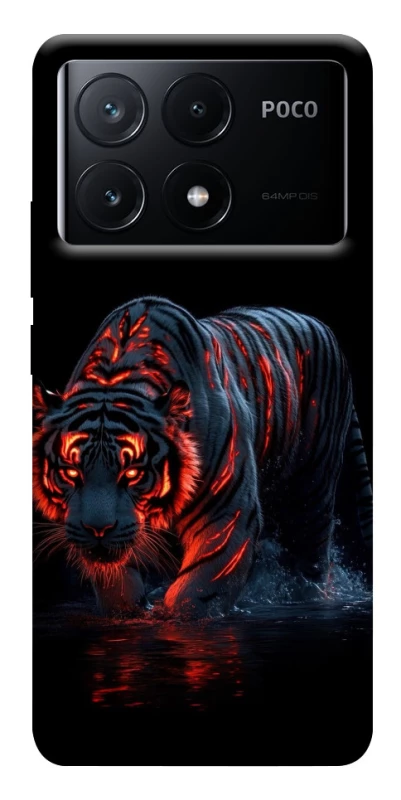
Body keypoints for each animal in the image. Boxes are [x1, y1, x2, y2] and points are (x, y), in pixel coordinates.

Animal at [33, 296, 372, 618]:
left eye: (132, 474)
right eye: (72, 473)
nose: (98, 531)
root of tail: (323, 327)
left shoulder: (226, 511)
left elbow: (199, 588)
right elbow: (117, 585)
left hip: (312, 491)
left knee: (312, 560)